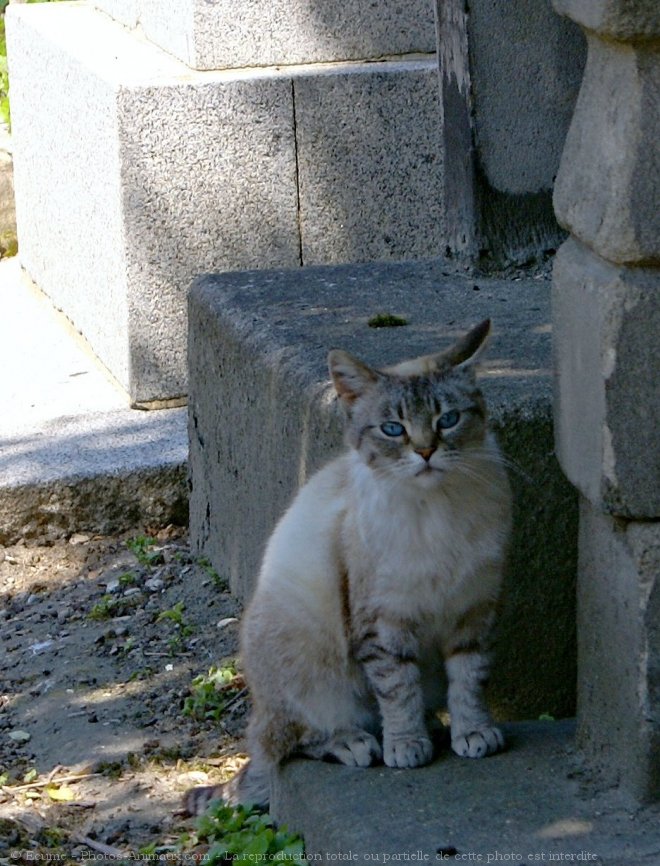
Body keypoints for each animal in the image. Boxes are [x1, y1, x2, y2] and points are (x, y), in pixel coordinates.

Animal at [183, 314, 512, 812]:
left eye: (448, 419)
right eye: (393, 429)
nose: (426, 452)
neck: (436, 509)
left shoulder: (473, 611)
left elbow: (469, 680)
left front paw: (473, 733)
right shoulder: (384, 622)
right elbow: (398, 690)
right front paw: (406, 746)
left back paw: (434, 729)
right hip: (303, 649)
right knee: (285, 742)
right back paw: (356, 742)